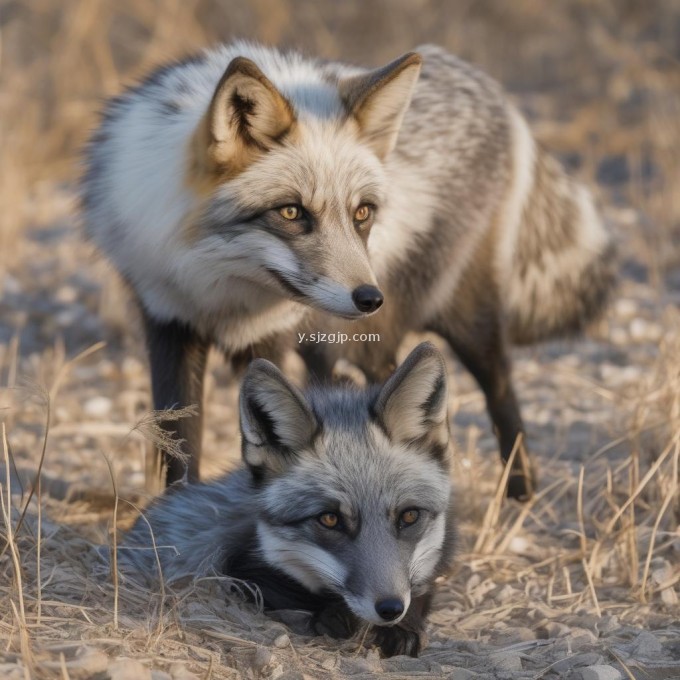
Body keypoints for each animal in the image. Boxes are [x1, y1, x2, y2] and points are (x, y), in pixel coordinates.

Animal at [81, 42, 616, 500]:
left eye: (361, 213)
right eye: (292, 213)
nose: (368, 297)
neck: (220, 287)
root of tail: (494, 90)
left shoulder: (271, 335)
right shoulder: (168, 318)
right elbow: (179, 446)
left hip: (445, 317)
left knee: (498, 384)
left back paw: (519, 491)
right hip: (348, 338)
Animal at [117, 342, 456, 656]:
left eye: (409, 516)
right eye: (329, 519)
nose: (389, 609)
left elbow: (422, 588)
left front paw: (404, 626)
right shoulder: (238, 568)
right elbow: (297, 593)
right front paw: (338, 617)